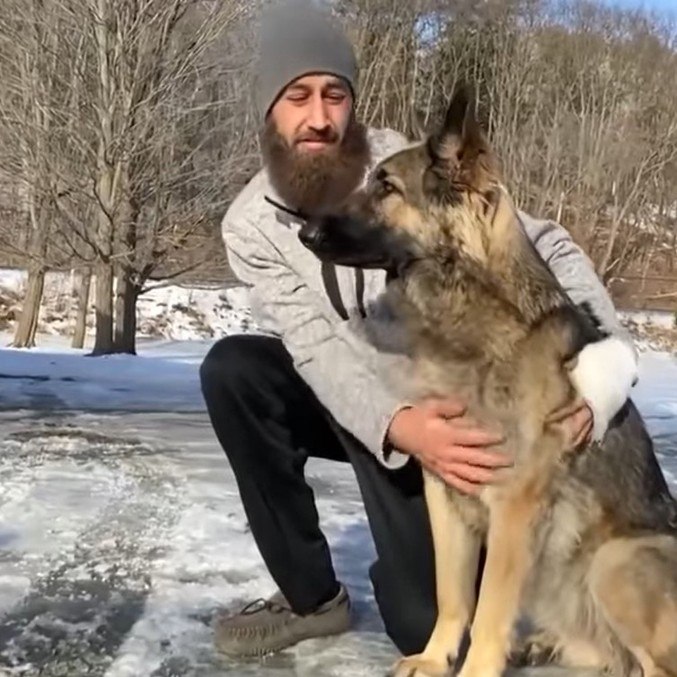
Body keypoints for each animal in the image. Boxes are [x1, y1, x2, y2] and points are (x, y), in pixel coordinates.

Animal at [298, 86, 676, 676]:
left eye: (386, 186)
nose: (303, 230)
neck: (469, 316)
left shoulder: (513, 509)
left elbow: (492, 608)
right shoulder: (445, 492)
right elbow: (453, 595)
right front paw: (434, 659)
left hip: (614, 562)